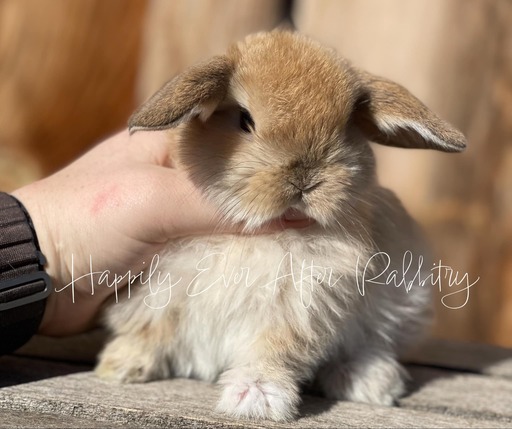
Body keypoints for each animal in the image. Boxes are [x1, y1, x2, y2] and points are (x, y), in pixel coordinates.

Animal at [94, 30, 466, 422]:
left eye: (345, 128)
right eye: (245, 120)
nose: (306, 178)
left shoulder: (298, 308)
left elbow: (273, 350)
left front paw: (257, 399)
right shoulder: (157, 293)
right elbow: (149, 330)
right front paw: (121, 365)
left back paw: (370, 381)